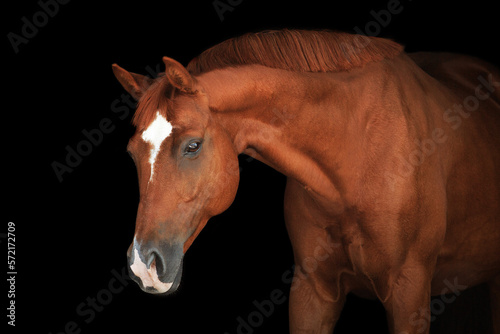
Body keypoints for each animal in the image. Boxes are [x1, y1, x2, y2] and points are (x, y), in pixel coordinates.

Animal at [112, 30, 500, 332]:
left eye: (192, 146)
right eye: (131, 154)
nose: (144, 266)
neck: (356, 159)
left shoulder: (409, 293)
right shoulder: (312, 291)